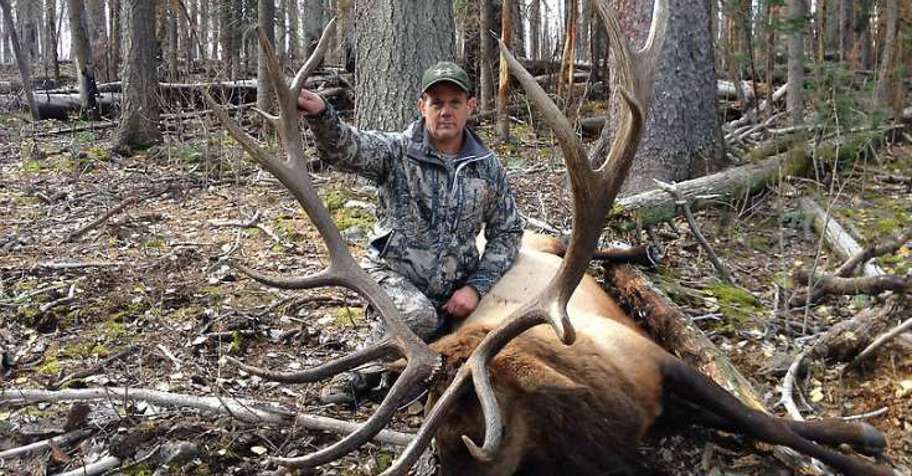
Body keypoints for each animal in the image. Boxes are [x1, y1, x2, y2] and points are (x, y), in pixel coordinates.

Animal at [207, 1, 894, 475]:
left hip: (558, 246)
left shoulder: (660, 363)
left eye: (475, 425)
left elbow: (766, 422)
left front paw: (865, 443)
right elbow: (750, 425)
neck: (601, 424)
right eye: (430, 425)